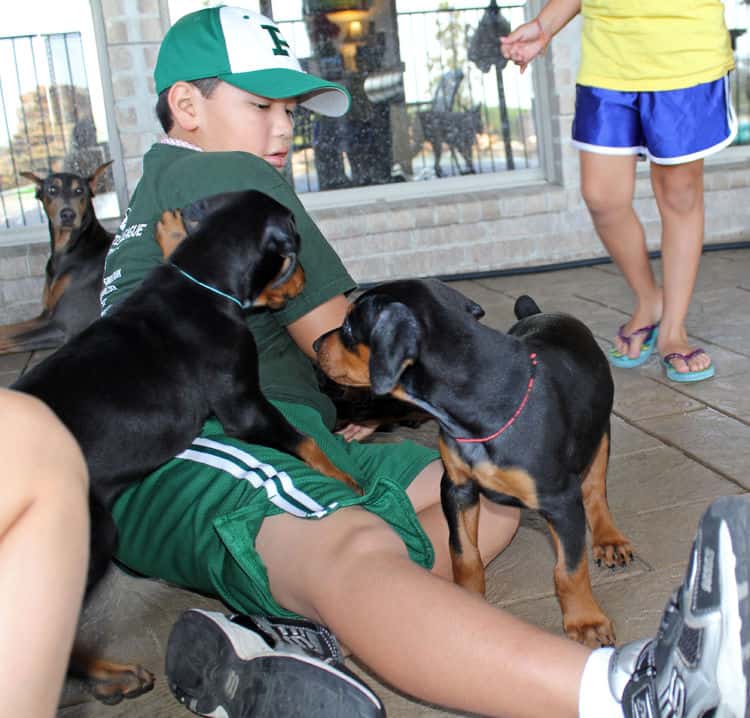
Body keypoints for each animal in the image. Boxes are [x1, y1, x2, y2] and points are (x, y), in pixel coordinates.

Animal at [0, 163, 114, 354]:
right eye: (52, 189)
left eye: (79, 190)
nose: (68, 214)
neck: (69, 250)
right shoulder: (46, 315)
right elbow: (6, 330)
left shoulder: (64, 326)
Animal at [13, 188, 360, 704]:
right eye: (294, 251)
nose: (306, 280)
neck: (203, 283)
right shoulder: (243, 405)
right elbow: (304, 441)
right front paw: (347, 478)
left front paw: (171, 231)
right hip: (91, 536)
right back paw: (114, 675)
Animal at [312, 280, 636, 648]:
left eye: (349, 327)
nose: (316, 345)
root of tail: (543, 313)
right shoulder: (456, 487)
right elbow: (463, 552)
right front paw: (467, 599)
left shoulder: (561, 502)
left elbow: (569, 569)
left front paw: (585, 621)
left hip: (600, 432)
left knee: (595, 487)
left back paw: (609, 540)